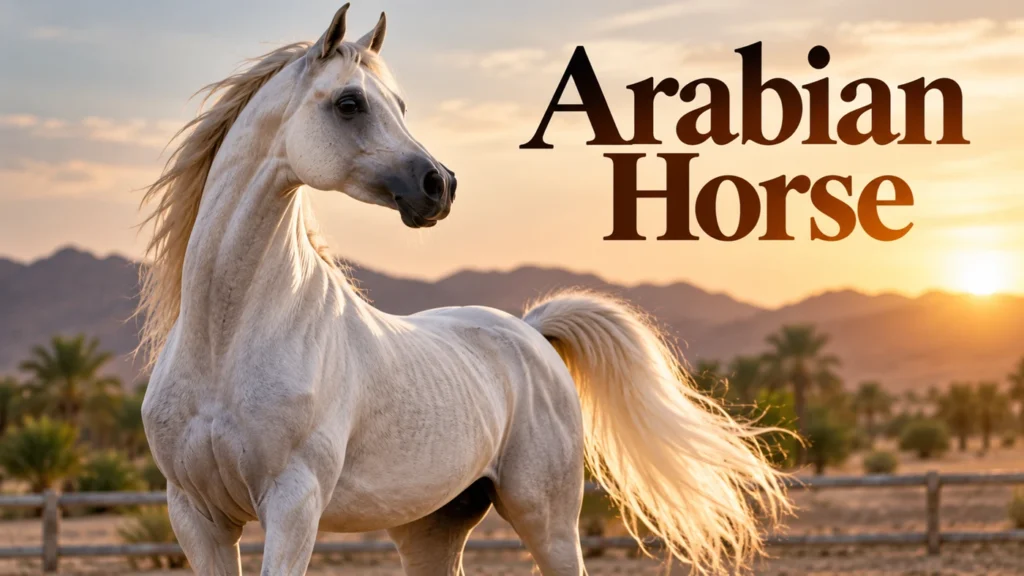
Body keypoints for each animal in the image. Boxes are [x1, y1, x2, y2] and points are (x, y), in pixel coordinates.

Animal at [138, 5, 789, 575]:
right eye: (350, 103)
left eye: (400, 105)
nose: (439, 185)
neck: (226, 340)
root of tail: (530, 332)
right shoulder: (196, 515)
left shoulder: (293, 506)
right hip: (431, 524)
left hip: (546, 519)